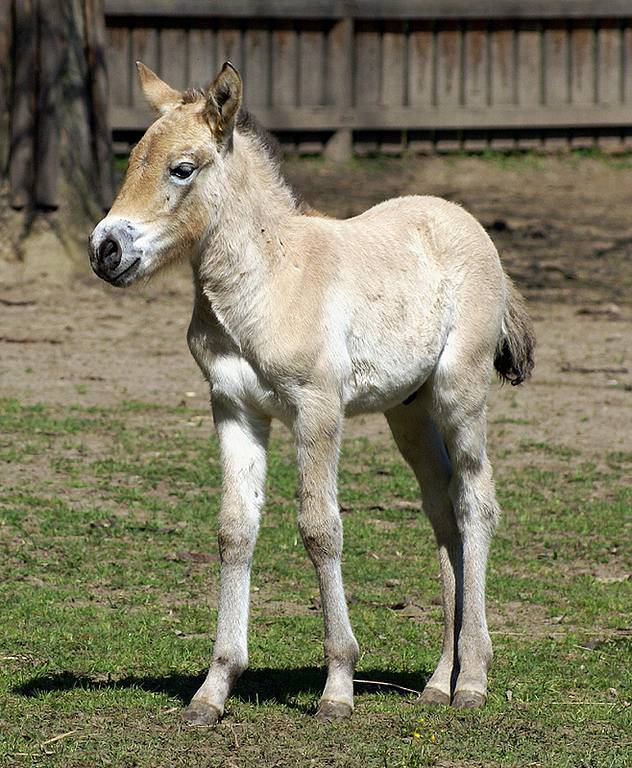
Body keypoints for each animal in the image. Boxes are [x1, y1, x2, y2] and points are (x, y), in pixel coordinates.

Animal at [87, 61, 532, 728]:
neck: (270, 278)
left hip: (460, 392)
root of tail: (464, 222)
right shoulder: (234, 409)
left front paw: (338, 687)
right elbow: (235, 529)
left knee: (476, 501)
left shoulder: (317, 408)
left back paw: (473, 680)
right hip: (409, 411)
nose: (105, 250)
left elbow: (320, 528)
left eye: (182, 168)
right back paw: (437, 682)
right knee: (442, 505)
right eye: (132, 159)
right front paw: (214, 689)